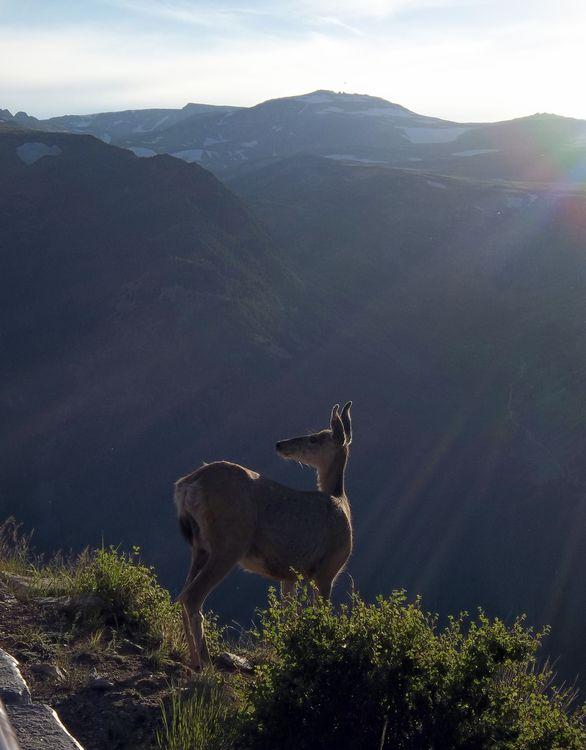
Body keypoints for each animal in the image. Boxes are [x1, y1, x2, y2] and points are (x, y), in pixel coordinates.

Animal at [174, 401, 353, 669]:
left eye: (314, 439)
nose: (281, 444)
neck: (340, 501)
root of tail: (188, 484)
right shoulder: (327, 569)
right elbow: (318, 618)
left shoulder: (290, 575)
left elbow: (290, 617)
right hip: (229, 542)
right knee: (193, 596)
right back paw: (206, 664)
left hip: (199, 546)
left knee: (182, 594)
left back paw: (193, 660)